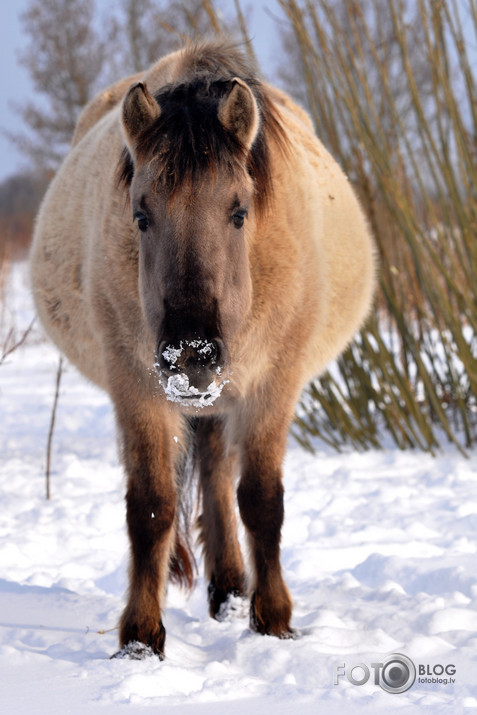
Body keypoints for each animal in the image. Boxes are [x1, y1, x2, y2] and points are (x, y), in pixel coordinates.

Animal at [30, 40, 376, 660]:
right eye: (141, 215)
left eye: (239, 211)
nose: (190, 355)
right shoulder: (137, 387)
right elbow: (151, 505)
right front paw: (140, 638)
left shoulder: (272, 386)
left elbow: (261, 500)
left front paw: (273, 620)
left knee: (218, 471)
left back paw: (232, 592)